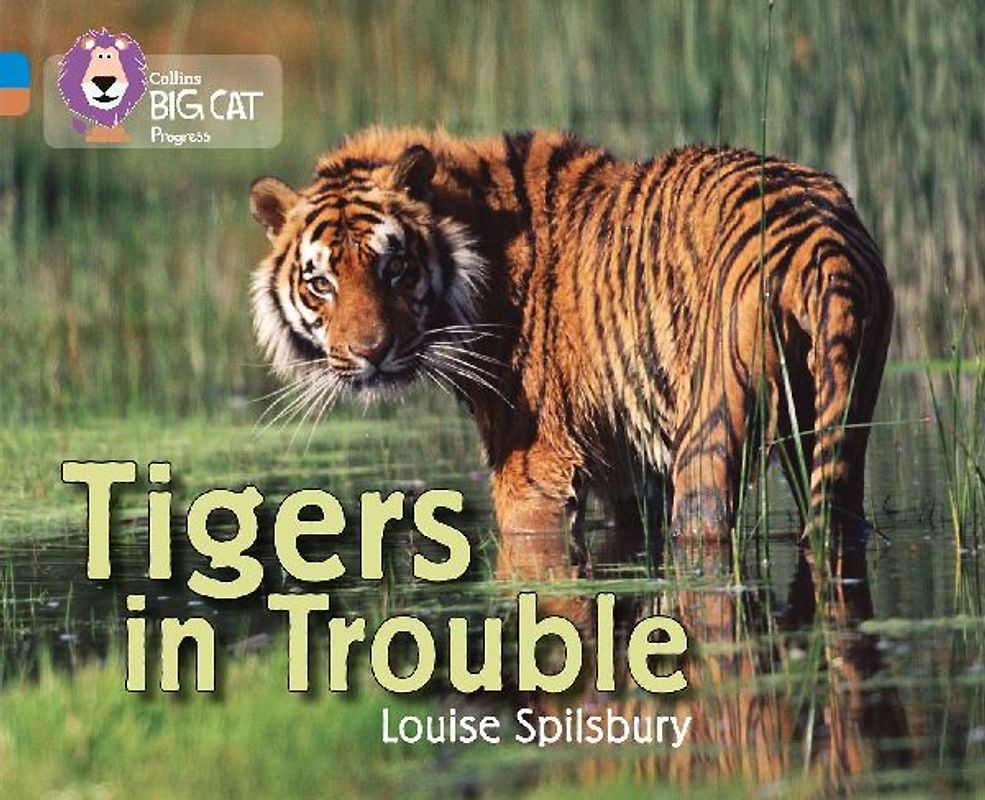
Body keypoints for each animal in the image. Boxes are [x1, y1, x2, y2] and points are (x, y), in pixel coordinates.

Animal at [249, 126, 893, 547]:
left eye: (395, 267)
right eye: (322, 283)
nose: (371, 353)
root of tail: (818, 239)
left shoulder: (533, 465)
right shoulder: (628, 469)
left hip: (711, 429)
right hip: (837, 415)